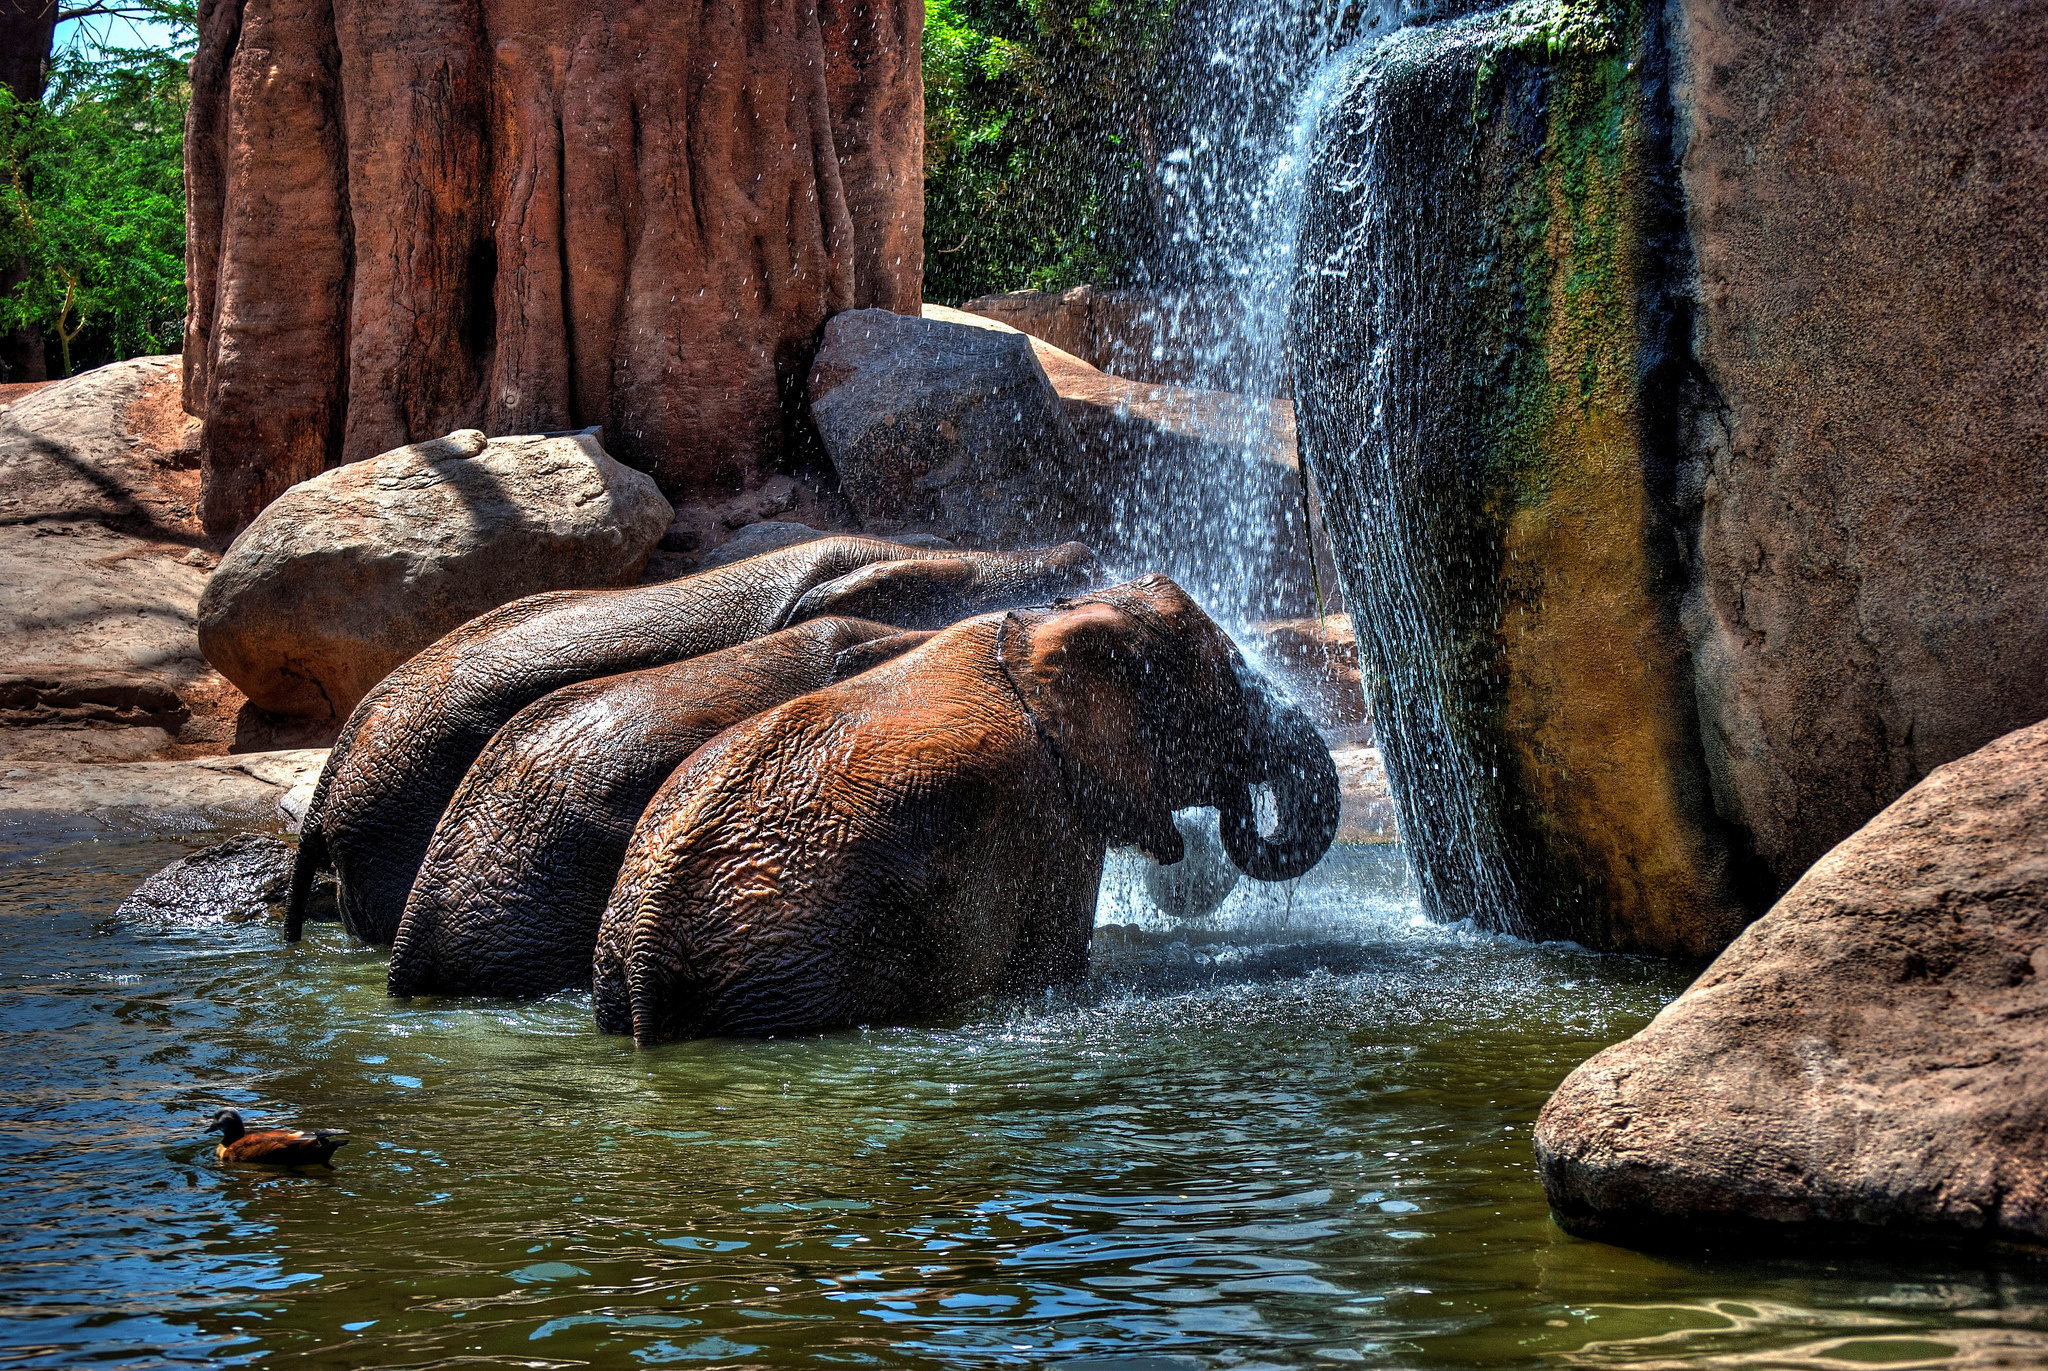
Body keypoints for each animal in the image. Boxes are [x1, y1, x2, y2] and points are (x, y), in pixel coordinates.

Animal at [589, 573, 1343, 1041]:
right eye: (1228, 690)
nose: (1236, 804)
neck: (1054, 618)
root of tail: (650, 939)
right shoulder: (1052, 812)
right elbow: (1054, 965)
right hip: (797, 967)